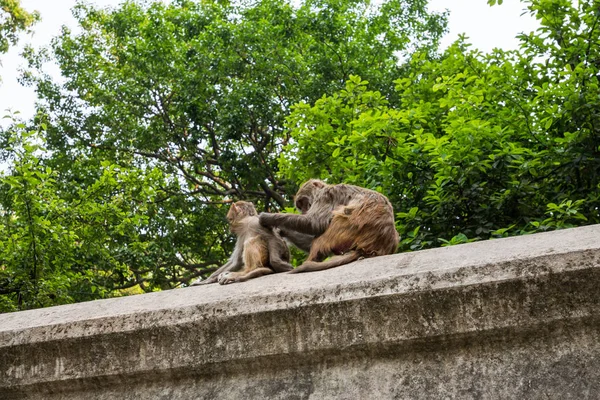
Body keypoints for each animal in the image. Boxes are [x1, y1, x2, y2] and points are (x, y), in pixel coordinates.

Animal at [258, 180, 398, 274]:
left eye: (303, 202)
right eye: (300, 205)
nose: (304, 211)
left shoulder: (326, 195)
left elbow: (315, 223)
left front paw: (268, 217)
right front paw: (281, 230)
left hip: (347, 229)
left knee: (338, 217)